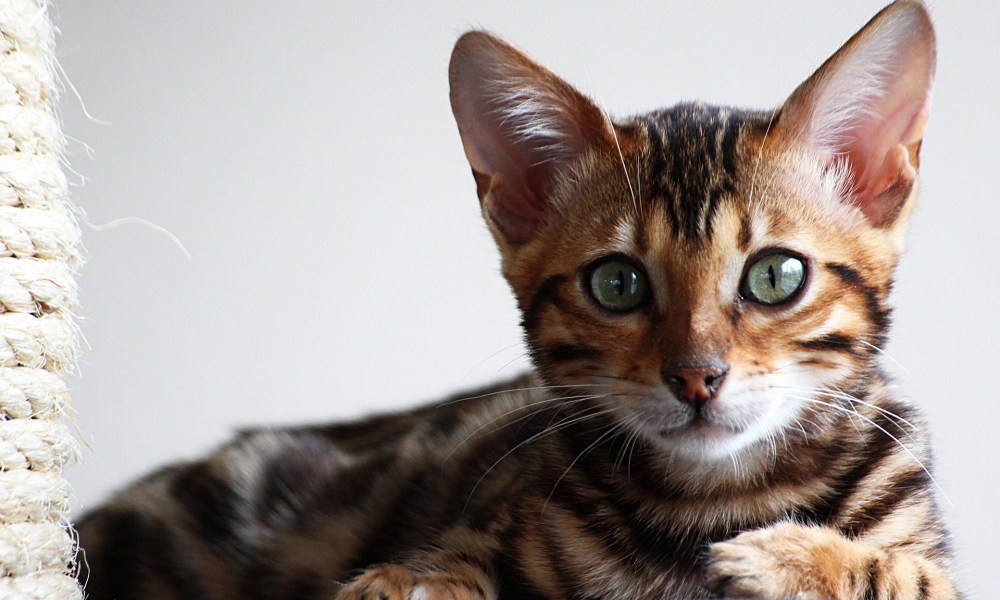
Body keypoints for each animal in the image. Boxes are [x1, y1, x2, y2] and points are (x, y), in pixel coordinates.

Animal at [76, 2, 952, 596]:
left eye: (775, 276)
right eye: (617, 283)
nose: (696, 376)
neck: (715, 501)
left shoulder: (929, 554)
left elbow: (905, 574)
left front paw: (789, 557)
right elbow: (444, 561)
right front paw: (406, 583)